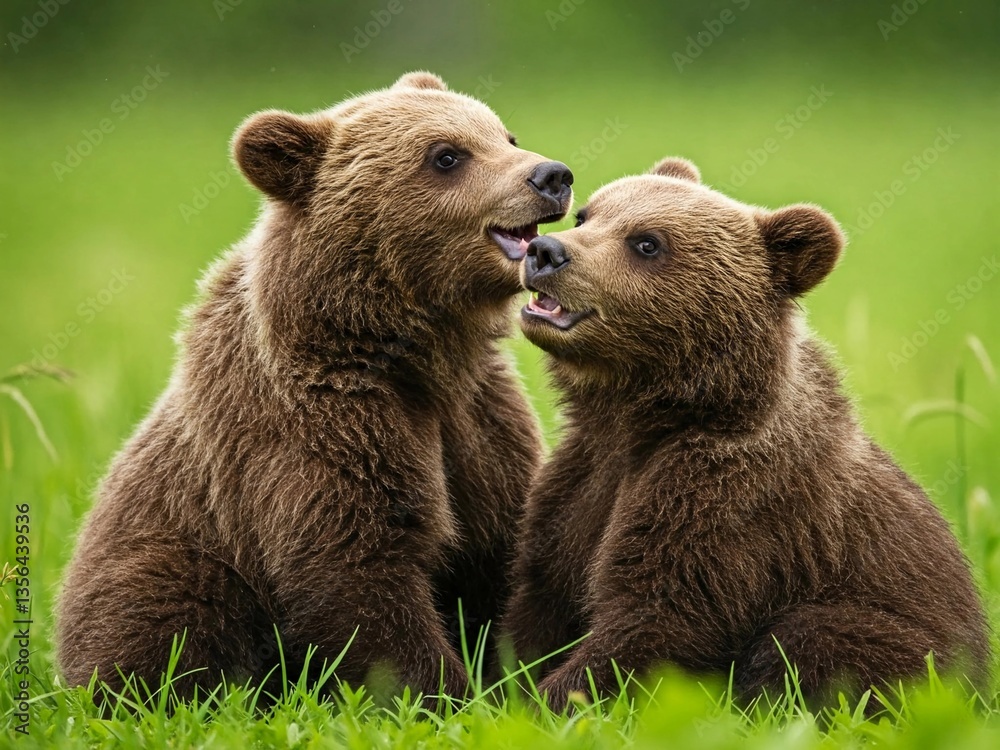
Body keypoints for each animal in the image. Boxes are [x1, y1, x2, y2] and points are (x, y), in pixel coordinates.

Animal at [56, 71, 574, 703]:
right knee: (163, 611)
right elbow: (356, 566)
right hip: (173, 552)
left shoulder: (479, 418)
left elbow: (502, 542)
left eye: (505, 134)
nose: (552, 175)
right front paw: (438, 693)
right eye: (447, 155)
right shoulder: (315, 424)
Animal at [503, 157, 990, 711]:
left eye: (647, 242)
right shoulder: (580, 480)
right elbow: (540, 597)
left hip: (919, 652)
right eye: (587, 215)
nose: (545, 251)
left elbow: (661, 619)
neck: (642, 416)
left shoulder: (732, 497)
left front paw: (547, 700)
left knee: (813, 636)